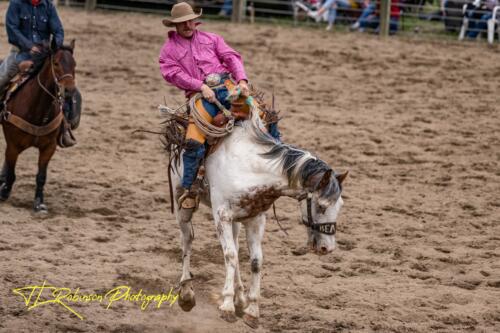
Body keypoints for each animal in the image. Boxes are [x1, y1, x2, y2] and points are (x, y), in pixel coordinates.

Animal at [0, 40, 76, 211]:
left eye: (74, 64)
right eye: (56, 63)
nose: (69, 91)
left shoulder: (49, 147)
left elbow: (41, 176)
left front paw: (39, 203)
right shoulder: (13, 146)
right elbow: (11, 172)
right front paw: (4, 192)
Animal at [169, 109, 348, 326]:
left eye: (340, 205)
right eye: (321, 206)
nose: (327, 248)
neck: (250, 169)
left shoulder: (255, 219)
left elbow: (255, 261)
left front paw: (251, 310)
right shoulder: (222, 216)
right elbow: (230, 256)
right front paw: (227, 306)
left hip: (238, 221)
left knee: (236, 248)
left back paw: (240, 298)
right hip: (183, 205)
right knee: (188, 239)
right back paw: (186, 293)